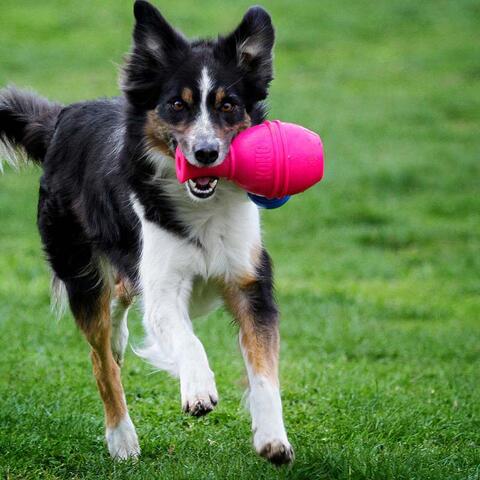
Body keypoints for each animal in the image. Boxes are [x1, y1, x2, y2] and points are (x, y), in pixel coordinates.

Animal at [0, 0, 294, 464]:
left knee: (121, 292)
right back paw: (121, 438)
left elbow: (265, 371)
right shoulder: (163, 285)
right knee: (102, 360)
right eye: (177, 104)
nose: (206, 153)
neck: (201, 206)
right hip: (79, 269)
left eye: (229, 106)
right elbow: (186, 339)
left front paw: (272, 438)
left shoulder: (250, 282)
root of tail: (62, 118)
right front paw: (199, 388)